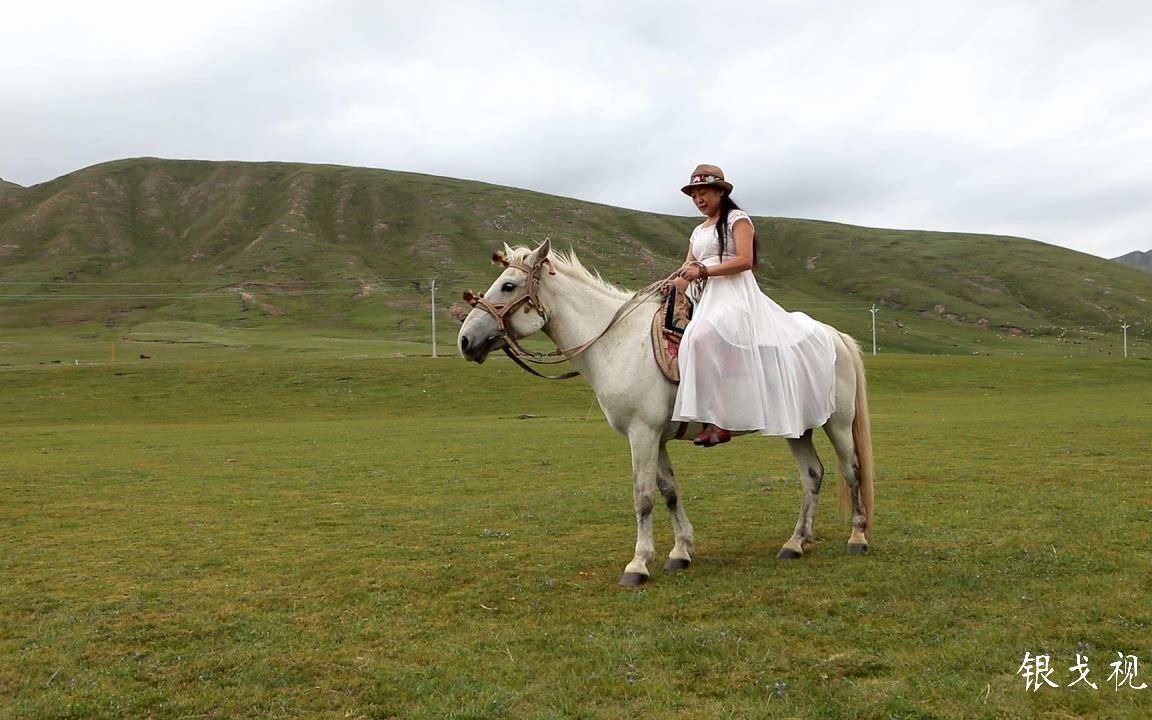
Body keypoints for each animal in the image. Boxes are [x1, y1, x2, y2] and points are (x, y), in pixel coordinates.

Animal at [458, 238, 870, 587]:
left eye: (508, 286)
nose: (465, 340)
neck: (617, 341)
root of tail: (835, 336)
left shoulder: (642, 434)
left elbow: (643, 496)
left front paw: (638, 564)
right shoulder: (654, 438)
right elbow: (670, 491)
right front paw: (681, 551)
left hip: (837, 423)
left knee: (851, 471)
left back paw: (857, 537)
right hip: (798, 428)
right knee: (812, 475)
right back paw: (796, 543)